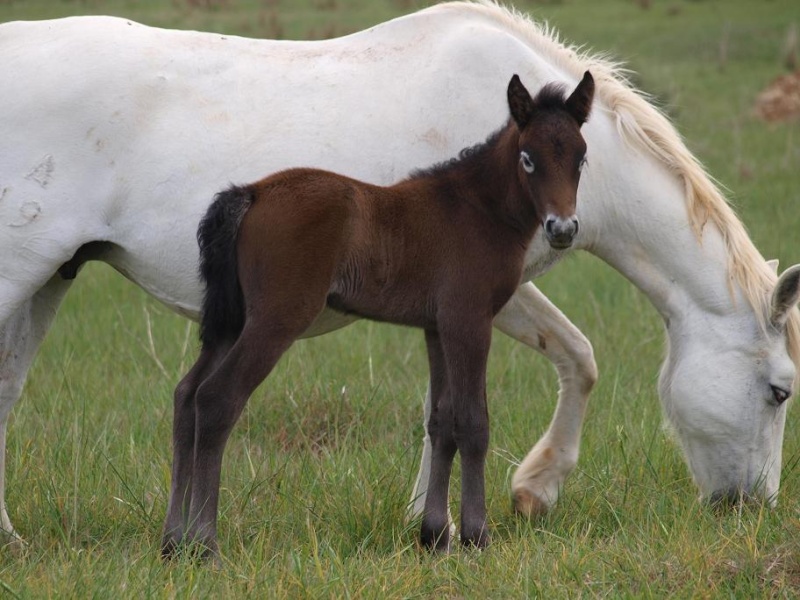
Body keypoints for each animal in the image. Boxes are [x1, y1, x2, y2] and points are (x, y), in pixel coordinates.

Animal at [0, 0, 796, 548]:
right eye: (779, 391)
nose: (750, 507)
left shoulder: (452, 309)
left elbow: (476, 396)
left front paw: (450, 516)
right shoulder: (482, 300)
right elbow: (564, 364)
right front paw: (515, 496)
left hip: (52, 282)